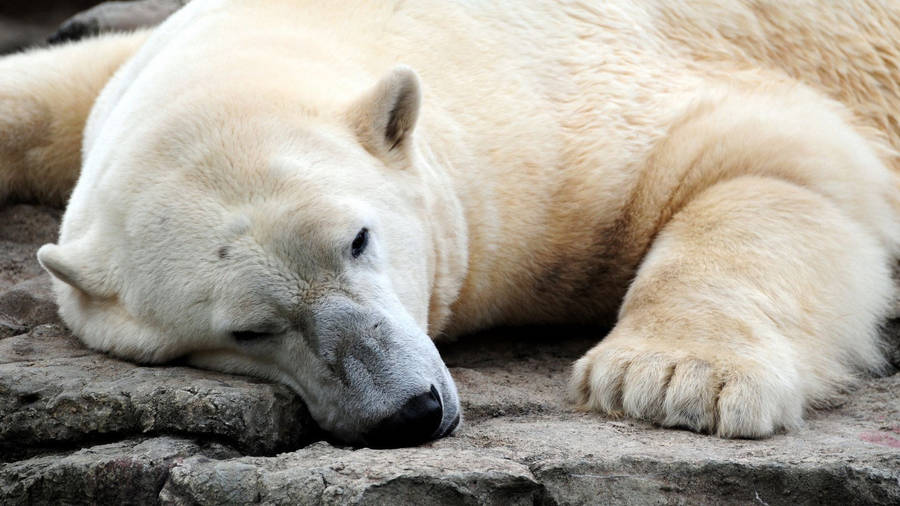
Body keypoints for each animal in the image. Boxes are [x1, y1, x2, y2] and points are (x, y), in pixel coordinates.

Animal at [1, 0, 899, 447]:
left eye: (359, 239)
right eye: (248, 332)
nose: (409, 411)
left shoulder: (555, 128)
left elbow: (771, 157)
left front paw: (672, 379)